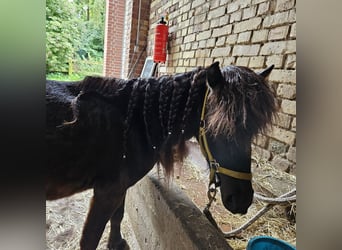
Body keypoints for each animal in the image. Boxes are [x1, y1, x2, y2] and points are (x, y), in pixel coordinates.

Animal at [46, 61, 276, 249]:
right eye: (218, 127)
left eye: (254, 131)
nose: (242, 200)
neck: (135, 121)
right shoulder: (107, 192)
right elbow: (90, 239)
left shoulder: (119, 187)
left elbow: (118, 215)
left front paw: (117, 244)